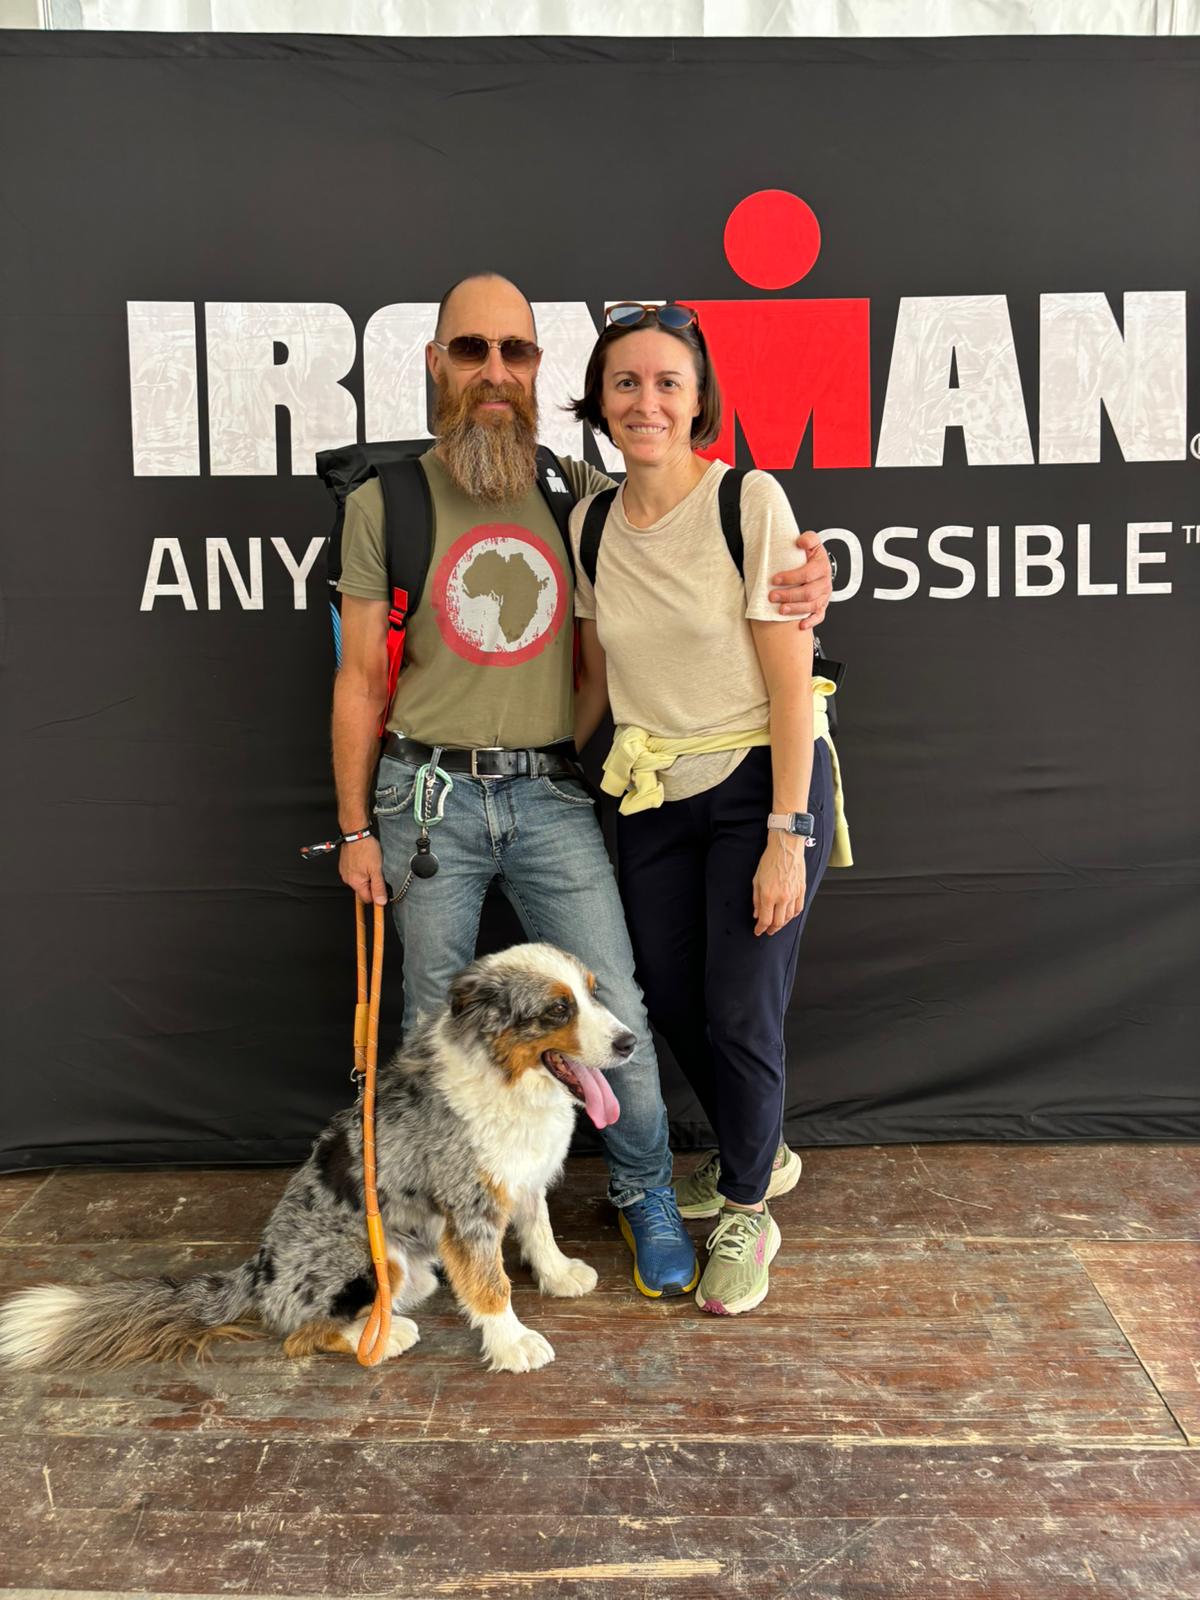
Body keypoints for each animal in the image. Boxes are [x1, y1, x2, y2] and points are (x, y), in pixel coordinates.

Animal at [0, 942, 630, 1376]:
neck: (506, 1079)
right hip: (367, 1257)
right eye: (557, 1010)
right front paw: (513, 1342)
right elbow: (491, 1283)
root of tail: (255, 1273)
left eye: (593, 992)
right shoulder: (469, 1207)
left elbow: (540, 1228)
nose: (629, 1042)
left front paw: (558, 1275)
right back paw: (383, 1335)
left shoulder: (521, 1178)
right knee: (300, 1332)